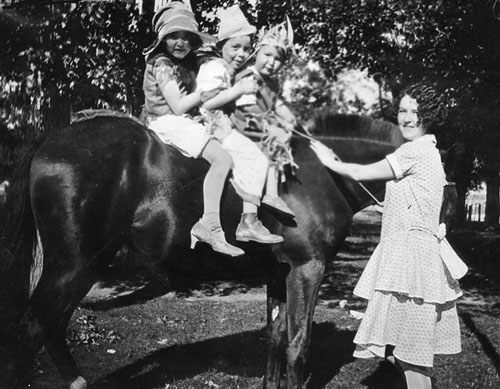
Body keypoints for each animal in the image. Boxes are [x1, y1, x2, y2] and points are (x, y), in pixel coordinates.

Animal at [0, 110, 404, 386]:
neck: (321, 172)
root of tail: (48, 141)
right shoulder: (307, 268)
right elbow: (297, 343)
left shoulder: (280, 273)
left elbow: (275, 339)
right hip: (73, 264)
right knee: (32, 328)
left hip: (86, 263)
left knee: (52, 326)